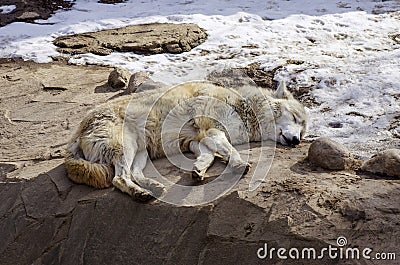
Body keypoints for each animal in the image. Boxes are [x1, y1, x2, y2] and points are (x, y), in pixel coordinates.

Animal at [65, 80, 306, 200]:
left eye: (303, 132)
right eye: (295, 118)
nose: (296, 140)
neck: (245, 108)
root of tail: (75, 134)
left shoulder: (197, 141)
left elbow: (209, 157)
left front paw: (198, 171)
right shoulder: (212, 131)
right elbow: (231, 151)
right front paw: (239, 164)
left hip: (141, 152)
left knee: (133, 174)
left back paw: (154, 188)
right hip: (127, 147)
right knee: (119, 178)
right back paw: (140, 194)